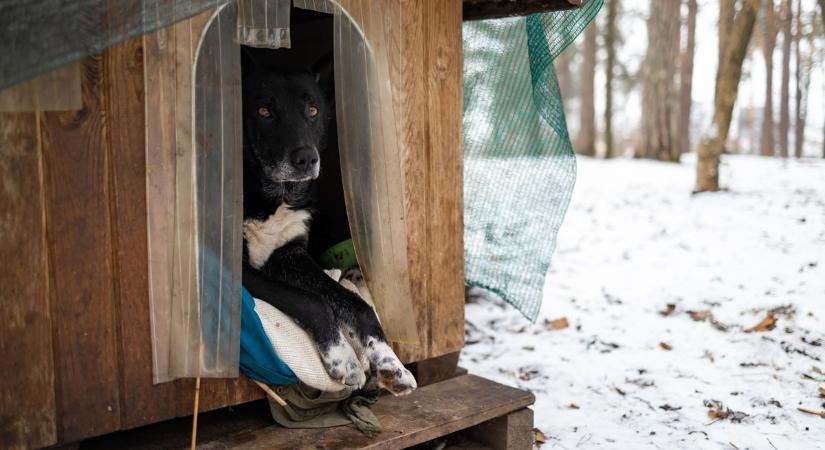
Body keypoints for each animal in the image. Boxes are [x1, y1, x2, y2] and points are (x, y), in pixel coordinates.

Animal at [241, 54, 416, 396]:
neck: (272, 197)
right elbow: (311, 301)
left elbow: (355, 303)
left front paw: (391, 362)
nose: (307, 159)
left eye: (313, 110)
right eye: (263, 111)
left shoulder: (289, 255)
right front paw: (344, 359)